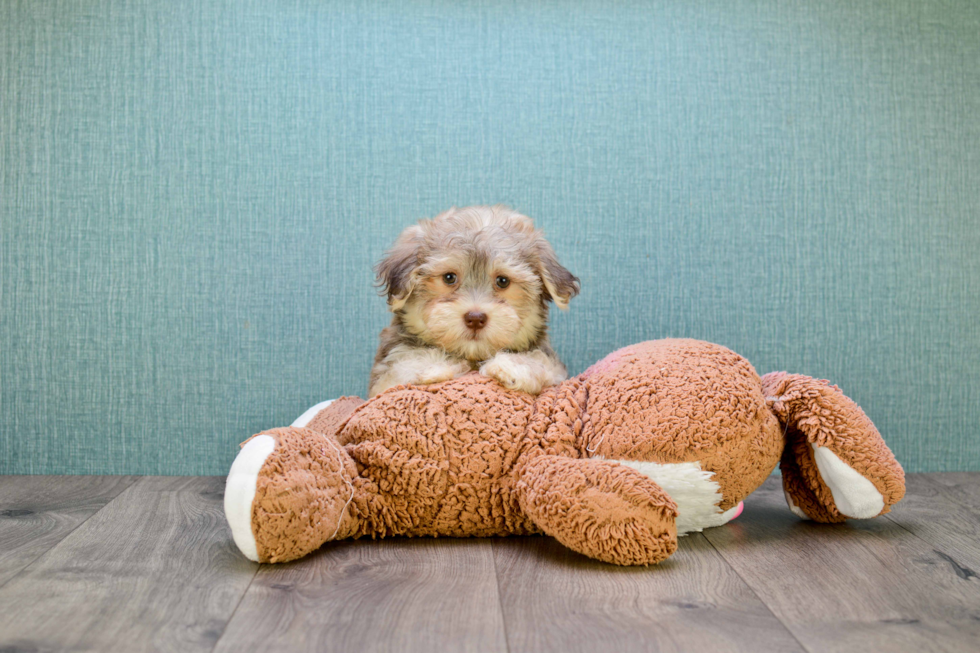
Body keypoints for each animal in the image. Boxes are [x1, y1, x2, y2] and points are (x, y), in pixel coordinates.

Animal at [372, 204, 580, 398]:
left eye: (503, 281)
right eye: (449, 277)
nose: (475, 318)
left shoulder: (554, 370)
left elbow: (540, 360)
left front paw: (513, 367)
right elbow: (404, 364)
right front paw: (432, 366)